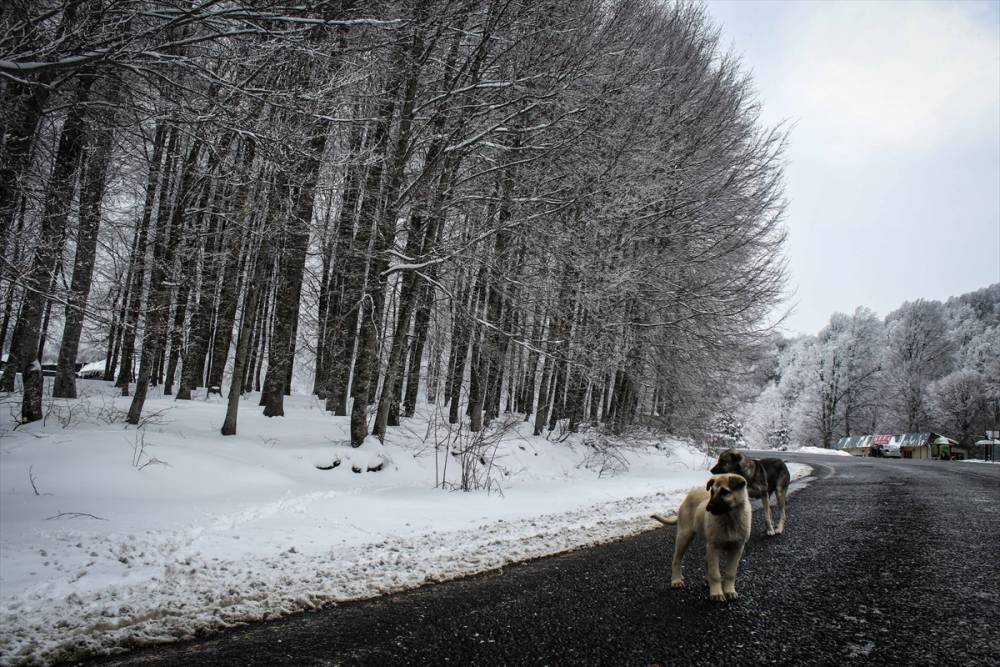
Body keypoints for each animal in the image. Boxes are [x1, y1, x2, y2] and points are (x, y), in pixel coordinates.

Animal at [656, 474, 752, 604]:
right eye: (712, 491)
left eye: (725, 492)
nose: (708, 507)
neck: (729, 519)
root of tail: (688, 496)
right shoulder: (714, 546)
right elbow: (715, 573)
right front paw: (717, 593)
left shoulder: (737, 548)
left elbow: (730, 573)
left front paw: (729, 591)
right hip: (685, 535)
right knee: (676, 558)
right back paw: (676, 580)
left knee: (706, 560)